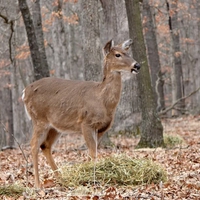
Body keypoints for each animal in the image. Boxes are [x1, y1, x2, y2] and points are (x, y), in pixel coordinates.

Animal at [21, 39, 141, 188]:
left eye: (127, 52)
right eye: (118, 54)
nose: (137, 65)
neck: (102, 100)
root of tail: (24, 91)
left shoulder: (101, 129)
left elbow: (93, 152)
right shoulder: (86, 123)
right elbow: (93, 153)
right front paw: (94, 179)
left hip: (55, 126)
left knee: (45, 146)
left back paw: (62, 179)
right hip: (39, 118)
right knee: (33, 145)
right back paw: (38, 184)